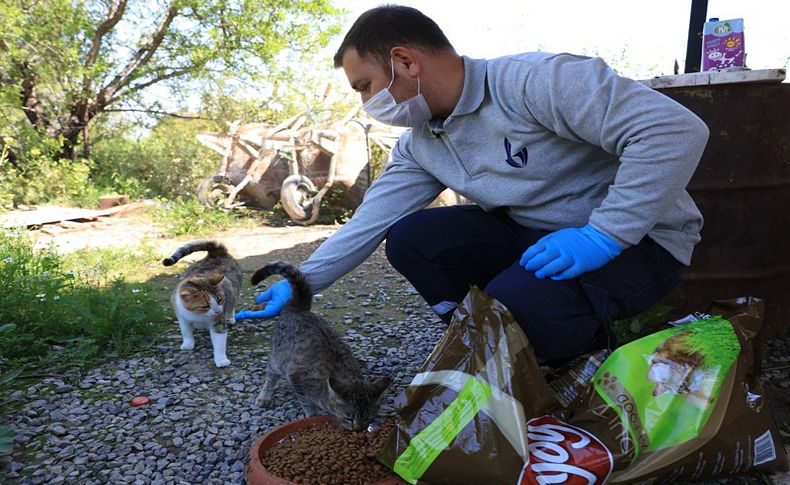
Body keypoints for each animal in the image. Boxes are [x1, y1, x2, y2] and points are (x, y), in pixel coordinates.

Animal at [252, 262, 392, 430]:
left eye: (368, 418)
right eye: (349, 417)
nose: (357, 429)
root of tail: (298, 308)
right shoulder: (296, 377)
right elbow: (306, 402)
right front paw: (312, 414)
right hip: (278, 359)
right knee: (271, 375)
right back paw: (265, 395)